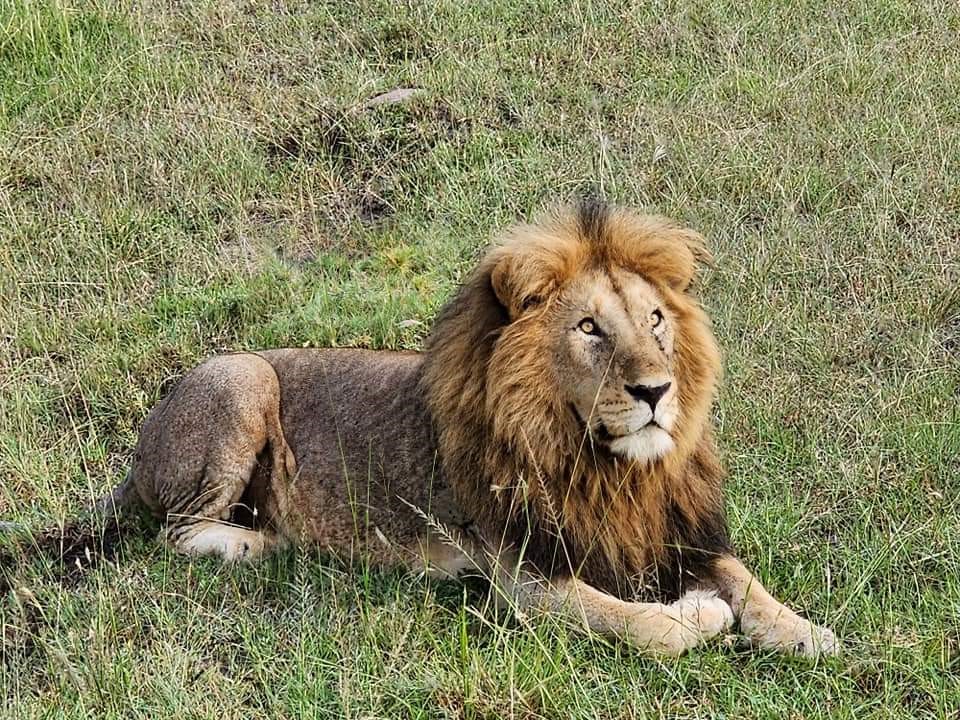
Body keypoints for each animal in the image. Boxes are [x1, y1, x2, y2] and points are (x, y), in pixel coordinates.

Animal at [109, 198, 836, 660]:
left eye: (655, 318)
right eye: (589, 328)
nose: (656, 390)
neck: (606, 468)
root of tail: (142, 450)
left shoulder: (677, 531)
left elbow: (745, 578)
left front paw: (804, 631)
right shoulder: (522, 575)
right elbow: (645, 627)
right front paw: (698, 612)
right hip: (243, 376)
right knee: (178, 531)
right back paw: (260, 544)